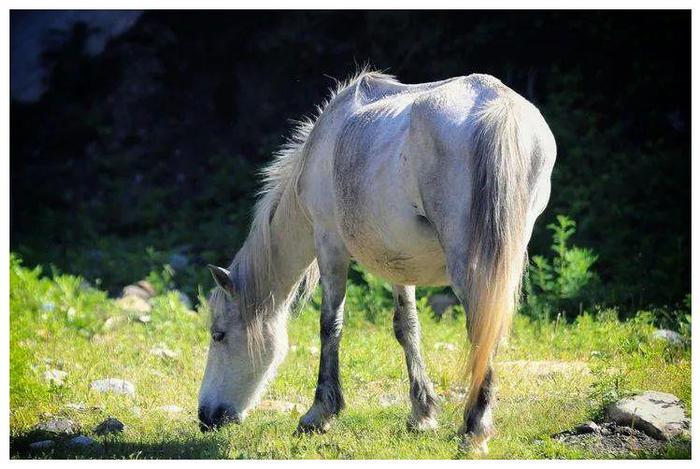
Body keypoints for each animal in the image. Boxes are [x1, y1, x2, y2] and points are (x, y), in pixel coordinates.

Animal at [198, 67, 556, 452]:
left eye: (219, 335)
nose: (205, 417)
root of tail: (496, 107)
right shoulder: (400, 262)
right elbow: (407, 328)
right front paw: (422, 414)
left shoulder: (330, 247)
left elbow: (330, 325)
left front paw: (319, 414)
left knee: (480, 328)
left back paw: (474, 429)